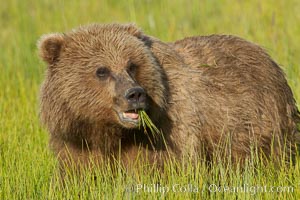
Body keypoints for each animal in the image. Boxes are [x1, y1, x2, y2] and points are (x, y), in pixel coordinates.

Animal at [37, 23, 300, 170]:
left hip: (264, 123)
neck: (110, 132)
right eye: (101, 70)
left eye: (132, 65)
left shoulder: (165, 134)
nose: (135, 94)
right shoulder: (75, 142)